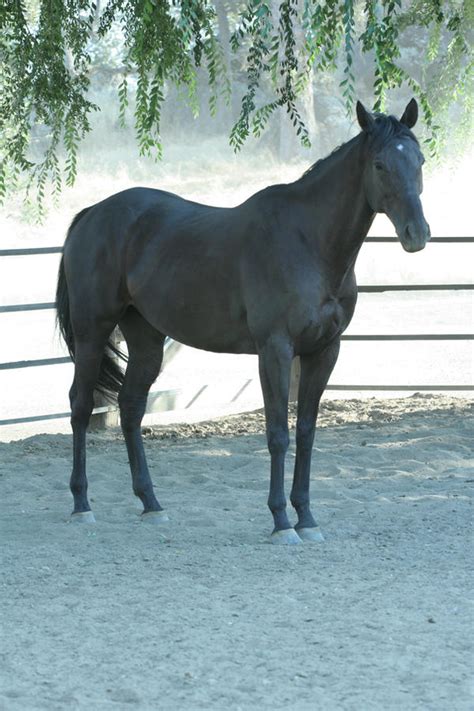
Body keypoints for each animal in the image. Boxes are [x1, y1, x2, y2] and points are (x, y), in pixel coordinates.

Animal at [54, 98, 430, 544]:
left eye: (420, 160)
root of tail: (92, 214)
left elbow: (306, 432)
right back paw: (81, 504)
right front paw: (282, 522)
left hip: (146, 340)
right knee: (80, 406)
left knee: (130, 407)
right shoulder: (275, 350)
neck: (308, 242)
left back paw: (152, 504)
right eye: (379, 164)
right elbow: (278, 435)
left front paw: (307, 518)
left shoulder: (324, 350)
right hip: (92, 333)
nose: (417, 234)